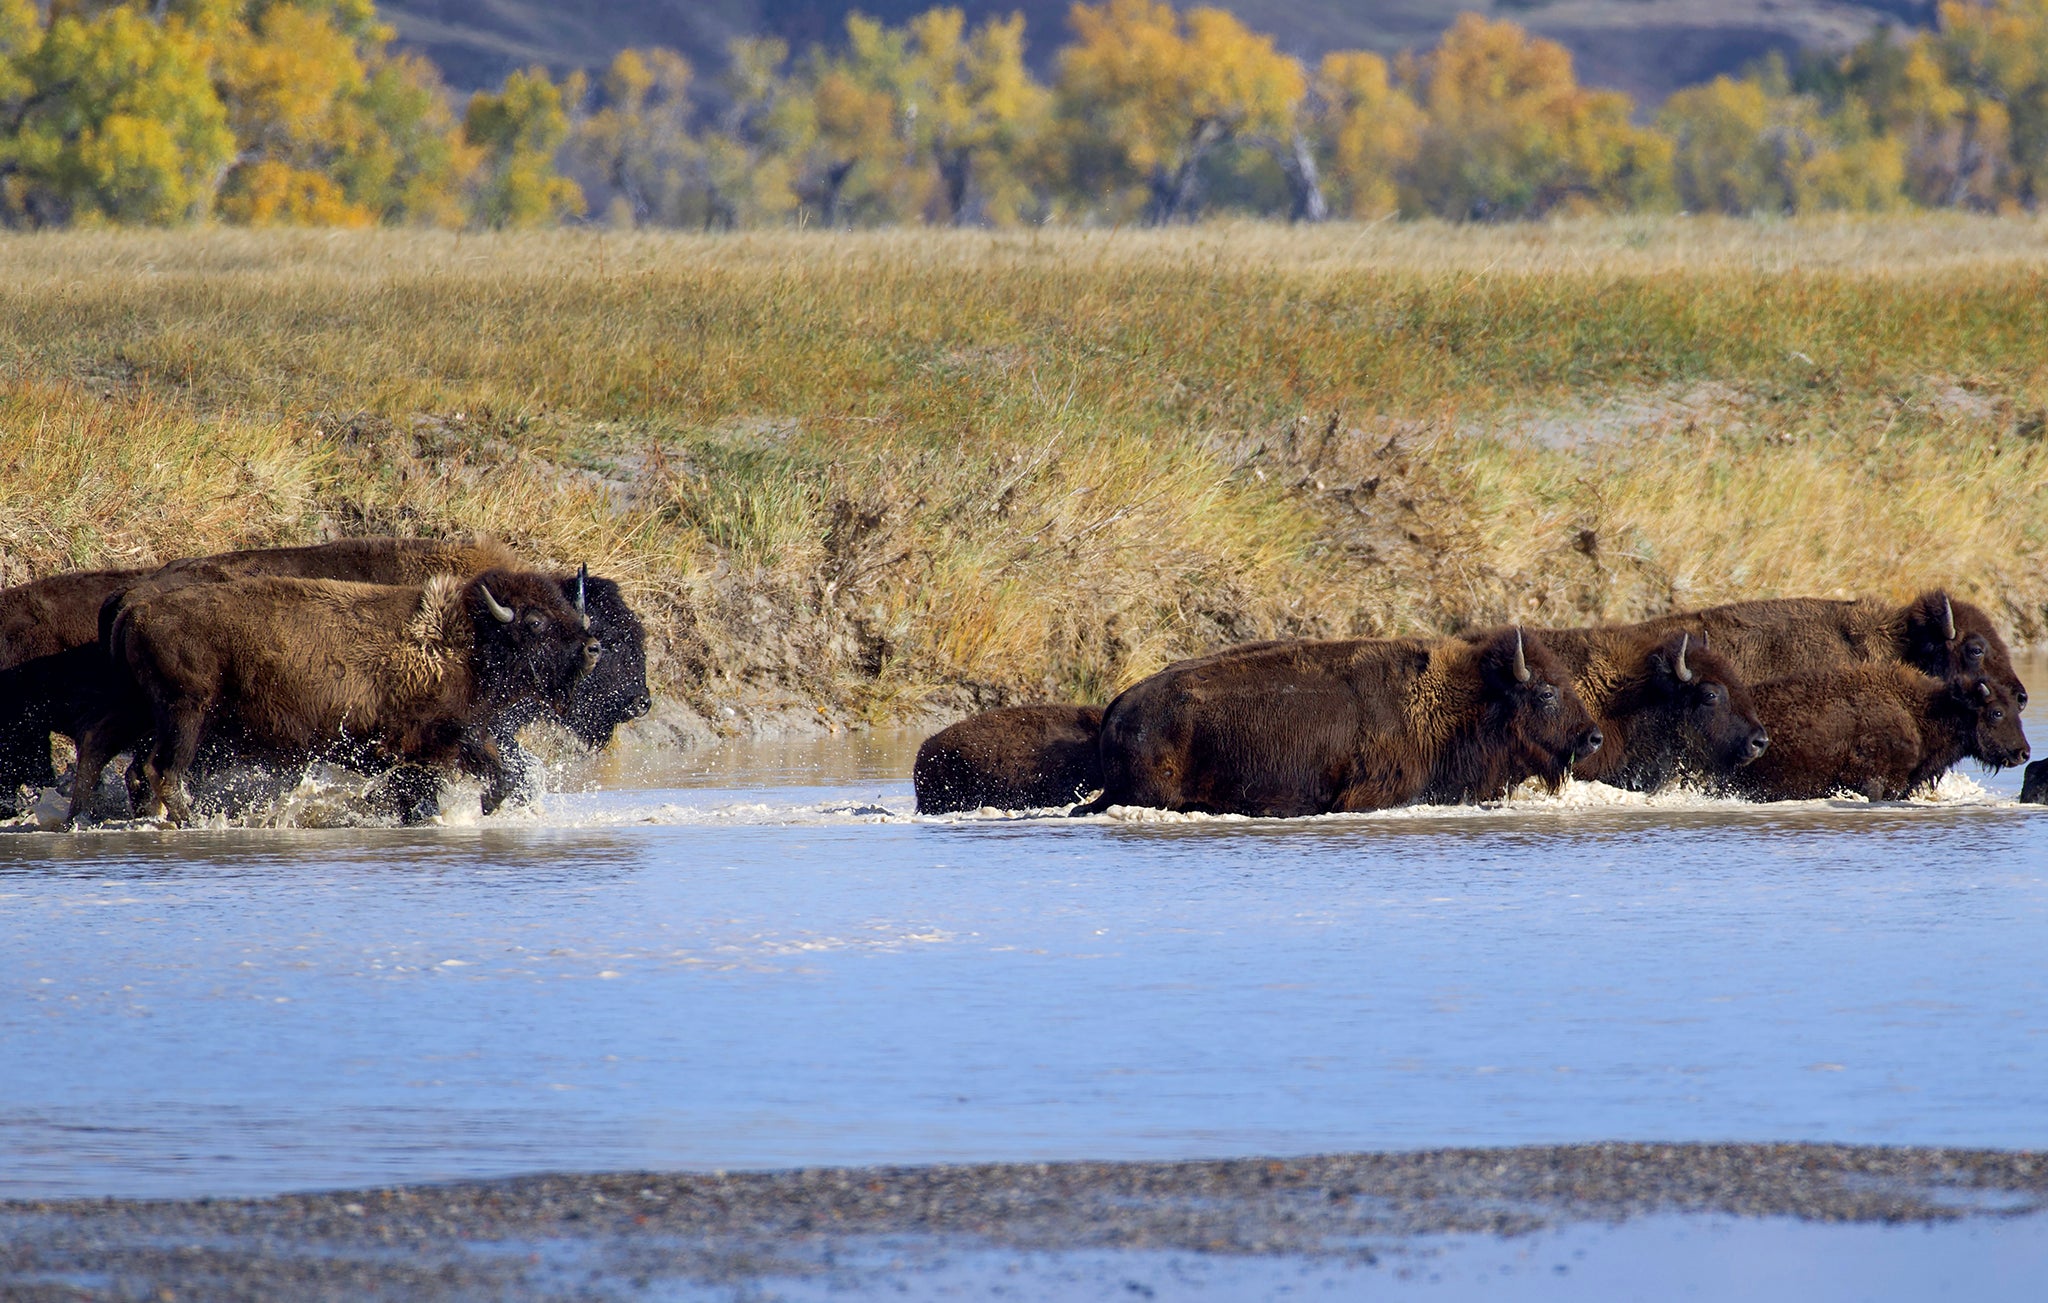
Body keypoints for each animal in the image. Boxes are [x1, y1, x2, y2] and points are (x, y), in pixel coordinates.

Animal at [72, 569, 598, 823]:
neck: (464, 638)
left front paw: (484, 809)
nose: (593, 647)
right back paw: (193, 822)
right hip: (186, 713)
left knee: (104, 748)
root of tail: (137, 609)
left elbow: (503, 774)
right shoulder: (424, 744)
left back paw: (81, 819)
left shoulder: (465, 739)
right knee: (163, 770)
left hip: (141, 709)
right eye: (536, 622)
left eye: (564, 608)